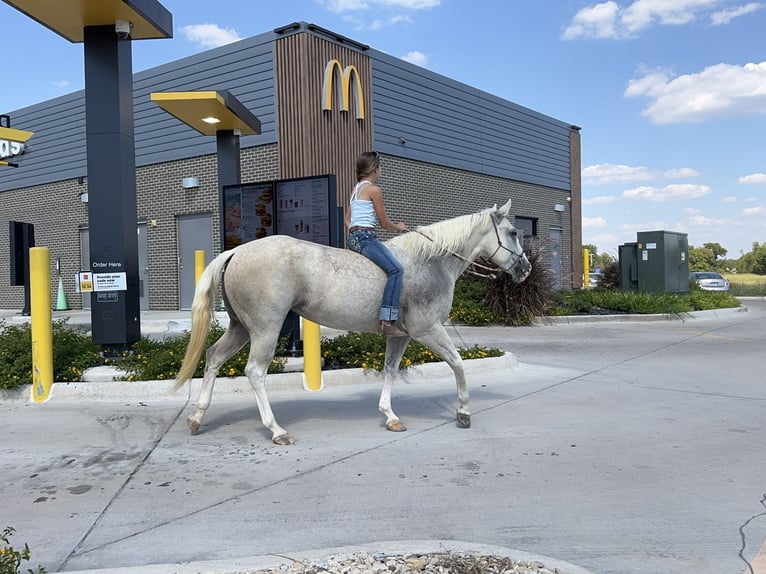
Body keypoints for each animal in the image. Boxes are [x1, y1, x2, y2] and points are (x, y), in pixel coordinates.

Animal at [174, 199, 531, 444]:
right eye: (514, 232)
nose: (525, 268)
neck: (431, 262)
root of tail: (236, 252)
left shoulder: (400, 336)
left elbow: (390, 370)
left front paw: (390, 416)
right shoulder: (427, 330)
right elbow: (458, 363)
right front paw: (464, 412)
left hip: (241, 328)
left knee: (213, 358)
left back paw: (197, 418)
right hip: (265, 329)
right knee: (255, 372)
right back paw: (276, 430)